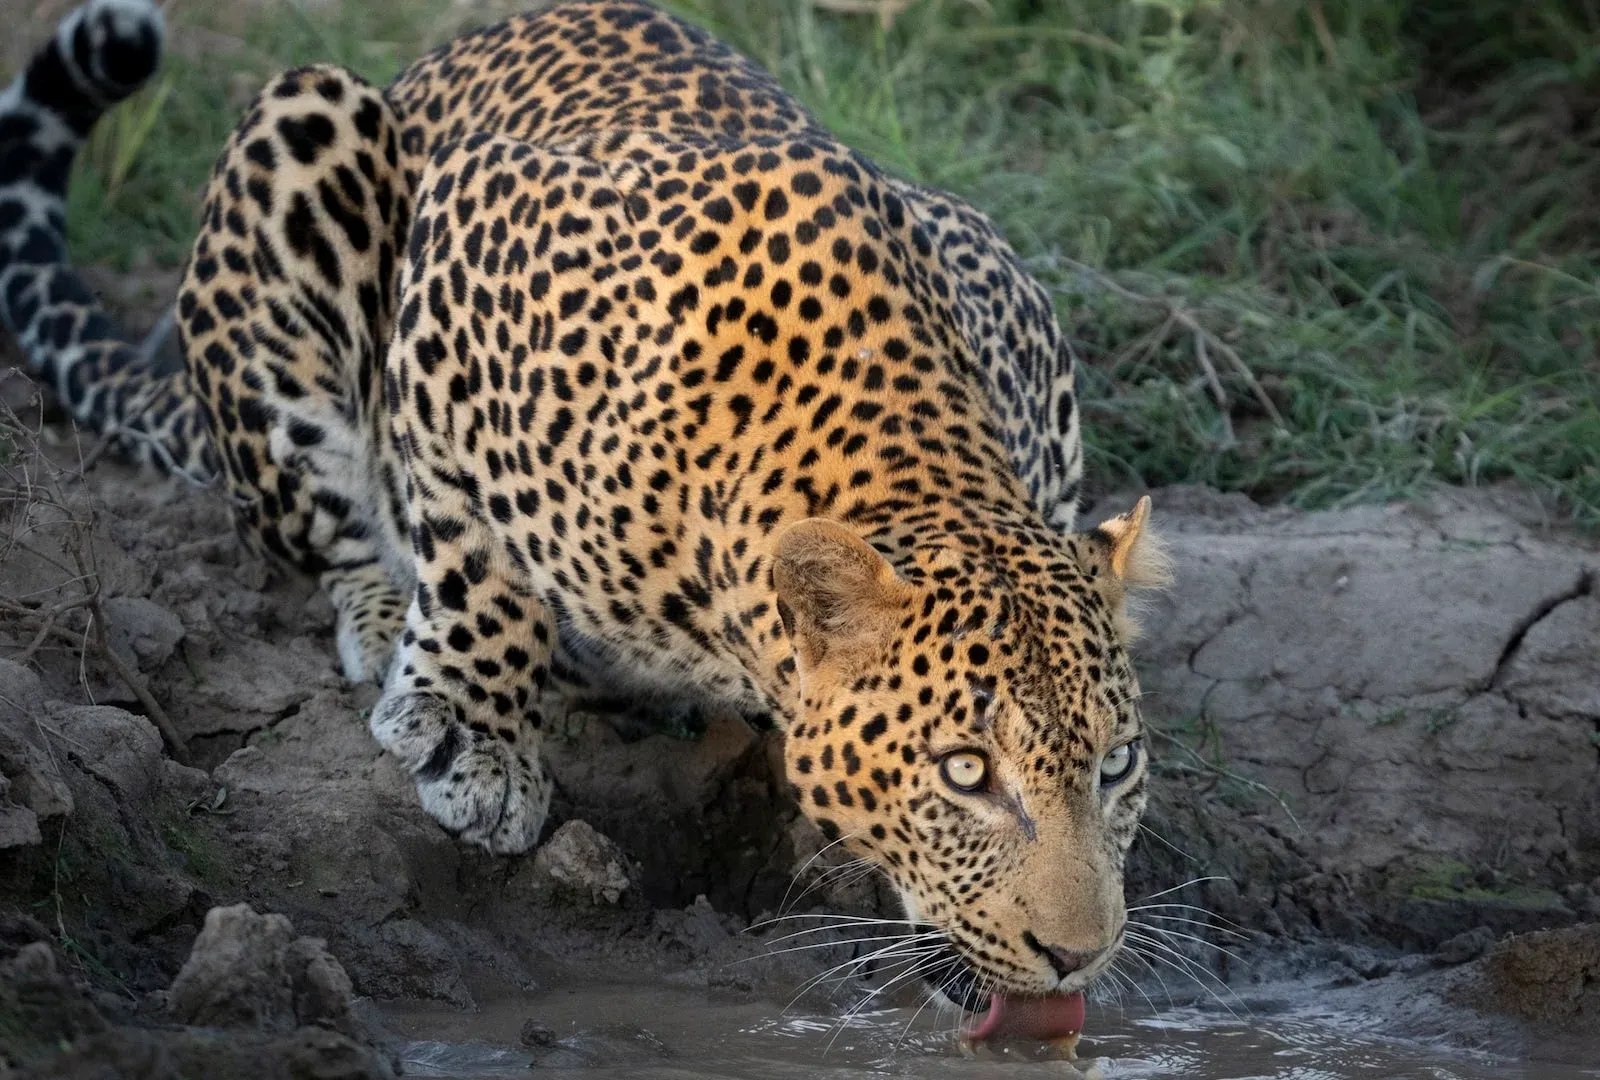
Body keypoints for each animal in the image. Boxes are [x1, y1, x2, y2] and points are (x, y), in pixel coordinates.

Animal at [0, 0, 1171, 1036]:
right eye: (966, 773)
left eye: (1115, 766)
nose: (1080, 954)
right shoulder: (461, 259)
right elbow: (477, 557)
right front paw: (473, 732)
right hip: (303, 133)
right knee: (319, 524)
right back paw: (394, 624)